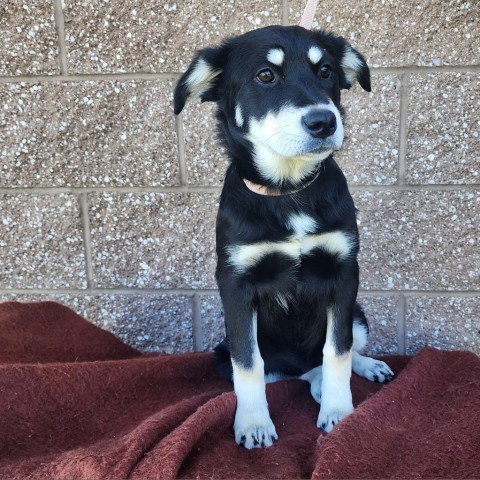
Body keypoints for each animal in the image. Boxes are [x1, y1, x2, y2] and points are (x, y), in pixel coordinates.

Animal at [174, 25, 392, 450]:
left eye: (325, 71)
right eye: (265, 76)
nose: (324, 122)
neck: (289, 190)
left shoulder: (344, 273)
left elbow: (338, 350)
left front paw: (339, 412)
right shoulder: (236, 284)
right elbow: (249, 364)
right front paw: (253, 423)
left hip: (358, 313)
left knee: (331, 353)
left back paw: (362, 369)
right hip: (221, 352)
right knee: (292, 372)